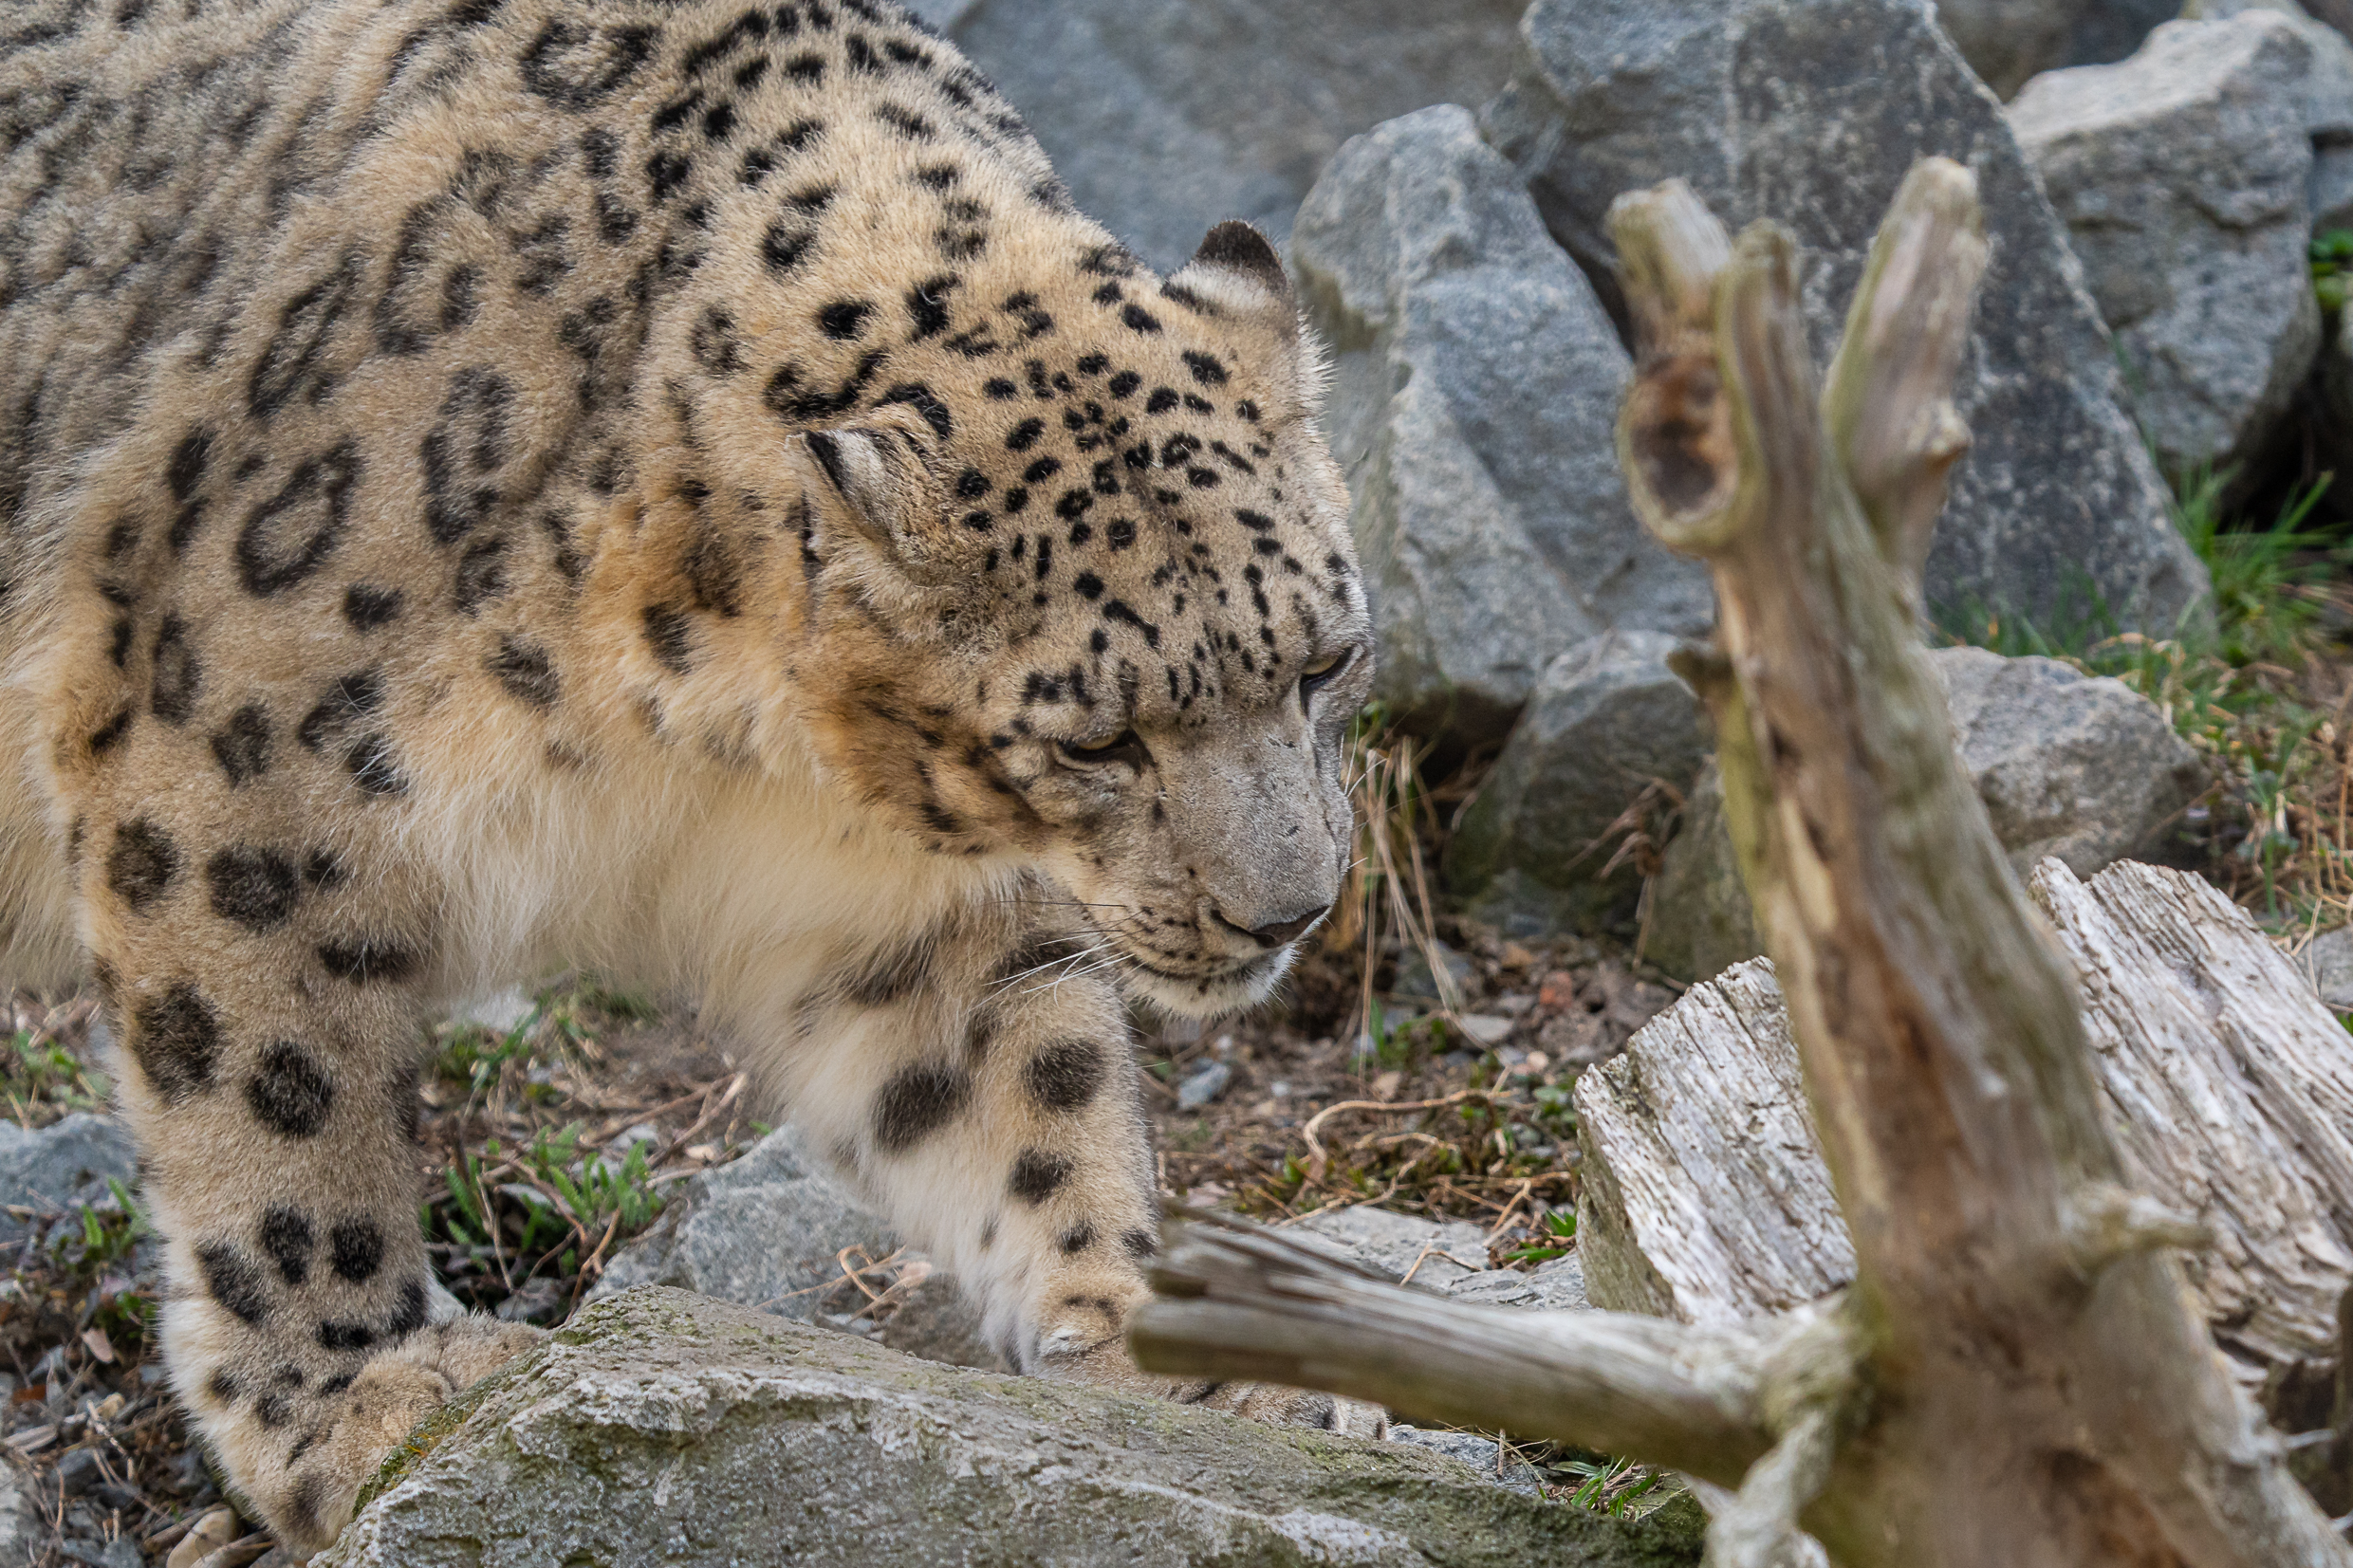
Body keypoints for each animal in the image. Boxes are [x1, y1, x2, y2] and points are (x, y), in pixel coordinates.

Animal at [0, 0, 1382, 1551]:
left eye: (1323, 661)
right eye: (1099, 740)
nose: (1290, 910)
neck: (716, 731)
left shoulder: (894, 904)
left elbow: (1035, 1089)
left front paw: (1186, 1366)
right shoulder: (230, 763)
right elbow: (278, 1100)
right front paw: (359, 1394)